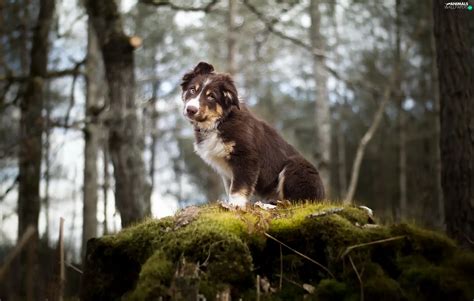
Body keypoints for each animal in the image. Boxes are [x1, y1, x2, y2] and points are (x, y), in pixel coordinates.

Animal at [180, 61, 324, 206]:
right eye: (192, 90)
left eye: (211, 96)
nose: (190, 110)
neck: (221, 122)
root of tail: (322, 198)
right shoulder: (227, 171)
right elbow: (230, 188)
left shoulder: (247, 158)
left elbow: (238, 188)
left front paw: (235, 205)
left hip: (295, 166)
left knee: (295, 202)